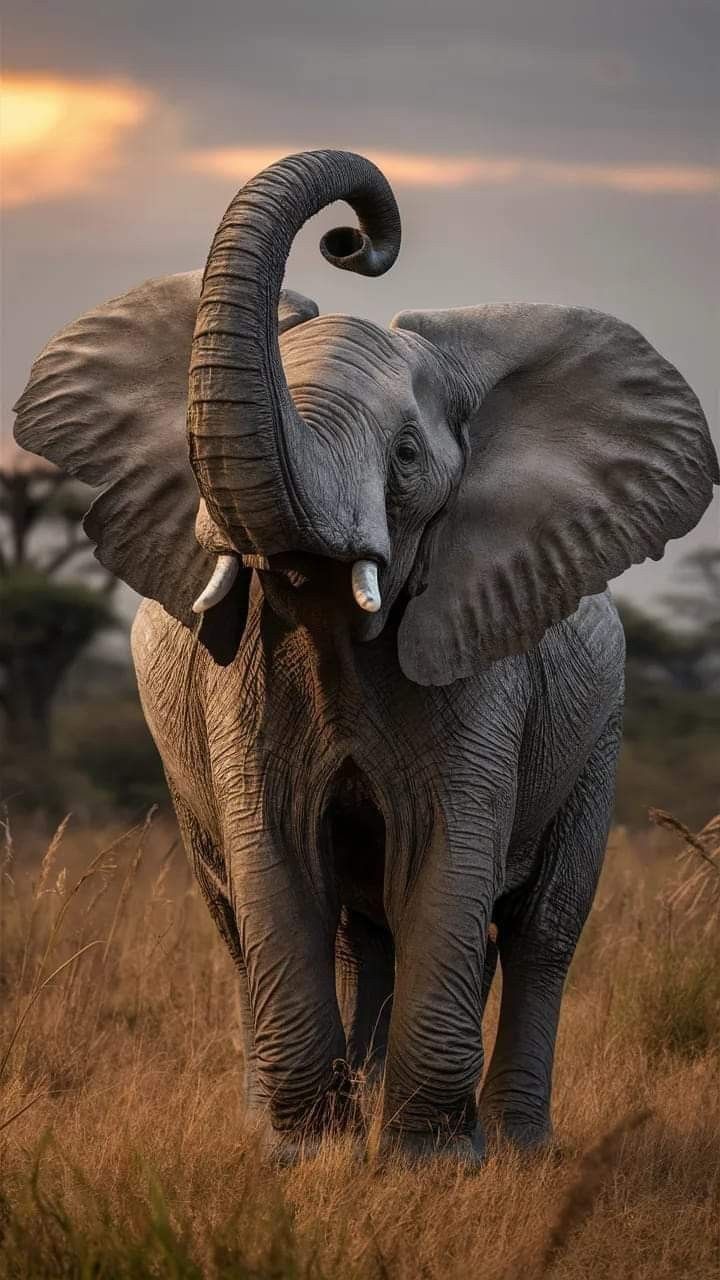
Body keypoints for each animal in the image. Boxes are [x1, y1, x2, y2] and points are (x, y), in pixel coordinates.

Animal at [14, 147, 712, 1162]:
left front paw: (428, 1166)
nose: (350, 240)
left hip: (602, 724)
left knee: (541, 927)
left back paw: (515, 1148)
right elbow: (274, 860)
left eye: (410, 456)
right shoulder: (239, 678)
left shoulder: (483, 668)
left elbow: (447, 855)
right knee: (278, 923)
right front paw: (308, 1158)